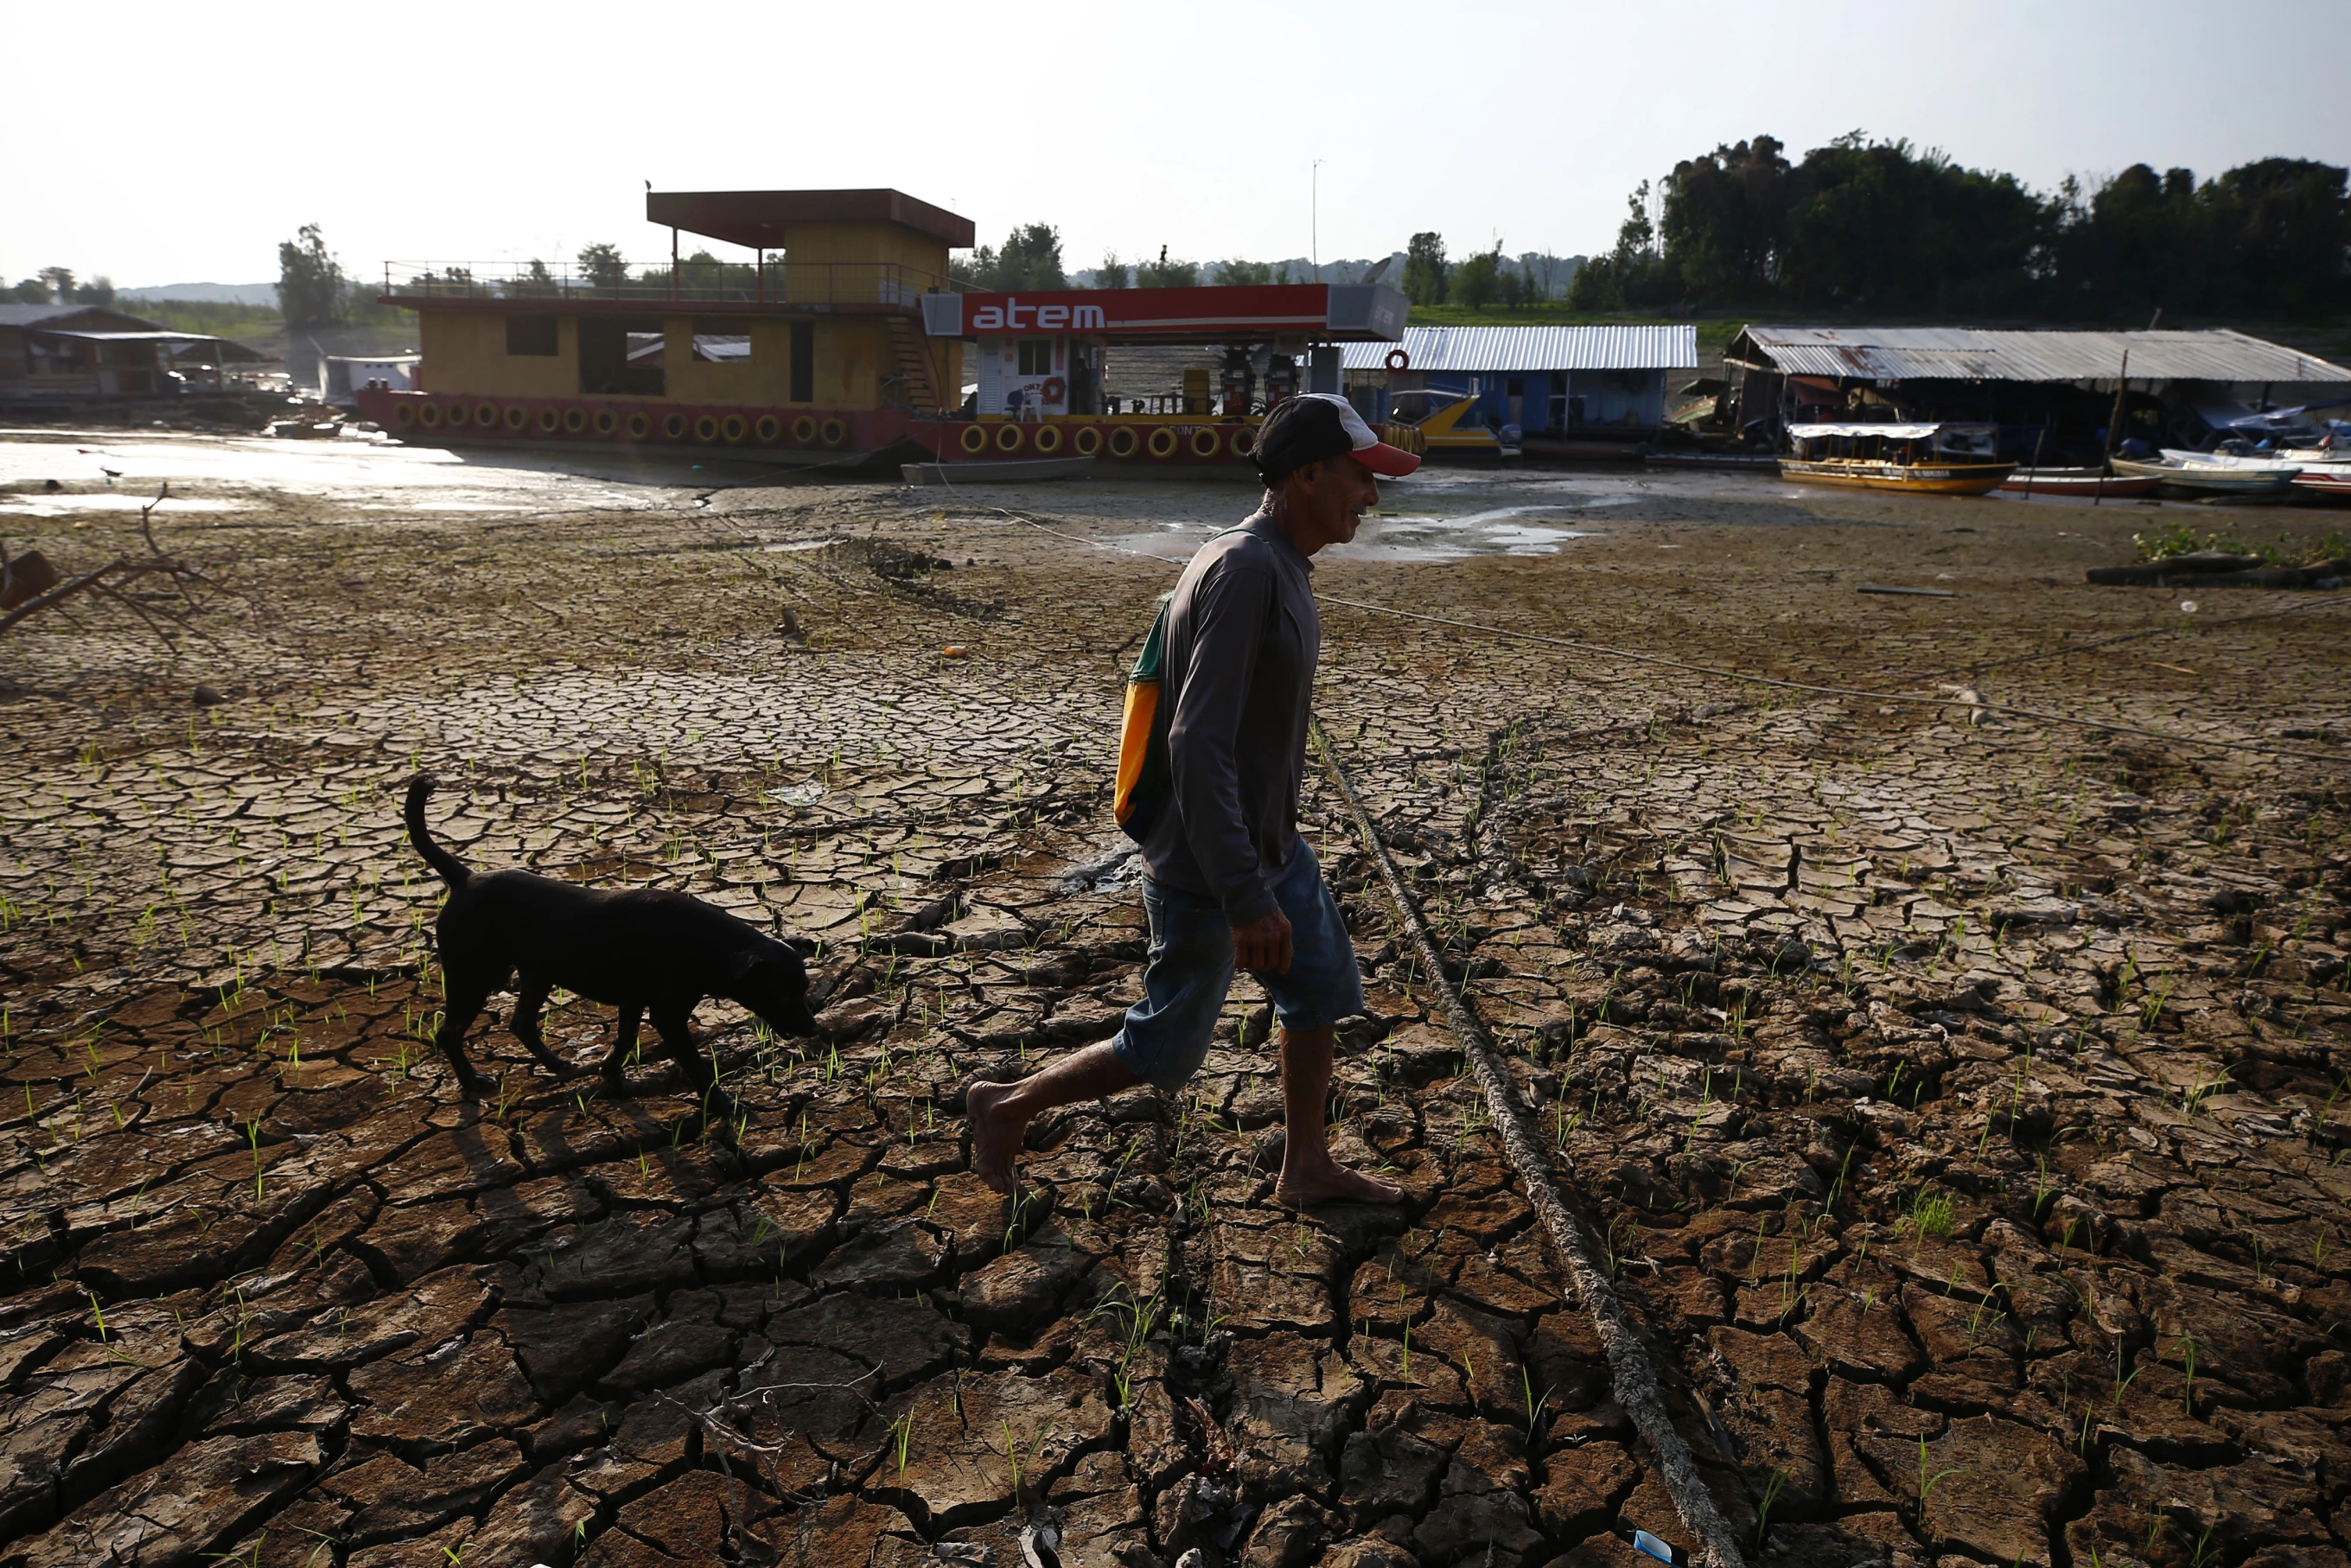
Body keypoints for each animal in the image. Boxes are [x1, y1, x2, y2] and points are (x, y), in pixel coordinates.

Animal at [413, 775, 827, 1105]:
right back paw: (471, 1083)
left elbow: (625, 1040)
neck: (708, 944)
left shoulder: (633, 1002)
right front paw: (723, 1106)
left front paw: (610, 1071)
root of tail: (464, 878)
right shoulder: (667, 1015)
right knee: (450, 1032)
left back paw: (558, 1065)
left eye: (805, 990)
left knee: (522, 1024)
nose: (813, 1031)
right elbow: (695, 1064)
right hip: (472, 975)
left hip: (536, 973)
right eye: (783, 995)